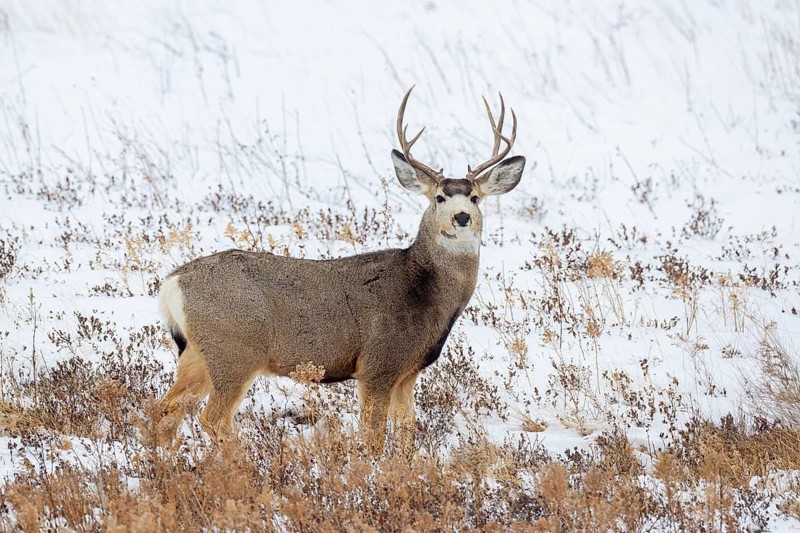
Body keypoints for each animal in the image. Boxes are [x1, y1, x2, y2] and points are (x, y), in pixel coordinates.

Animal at [157, 86, 525, 456]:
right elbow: (373, 435)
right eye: (439, 198)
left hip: (198, 352)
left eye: (475, 197)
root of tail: (173, 283)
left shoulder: (408, 372)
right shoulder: (378, 363)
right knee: (212, 417)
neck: (425, 296)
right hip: (235, 350)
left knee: (165, 410)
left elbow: (407, 433)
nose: (461, 217)